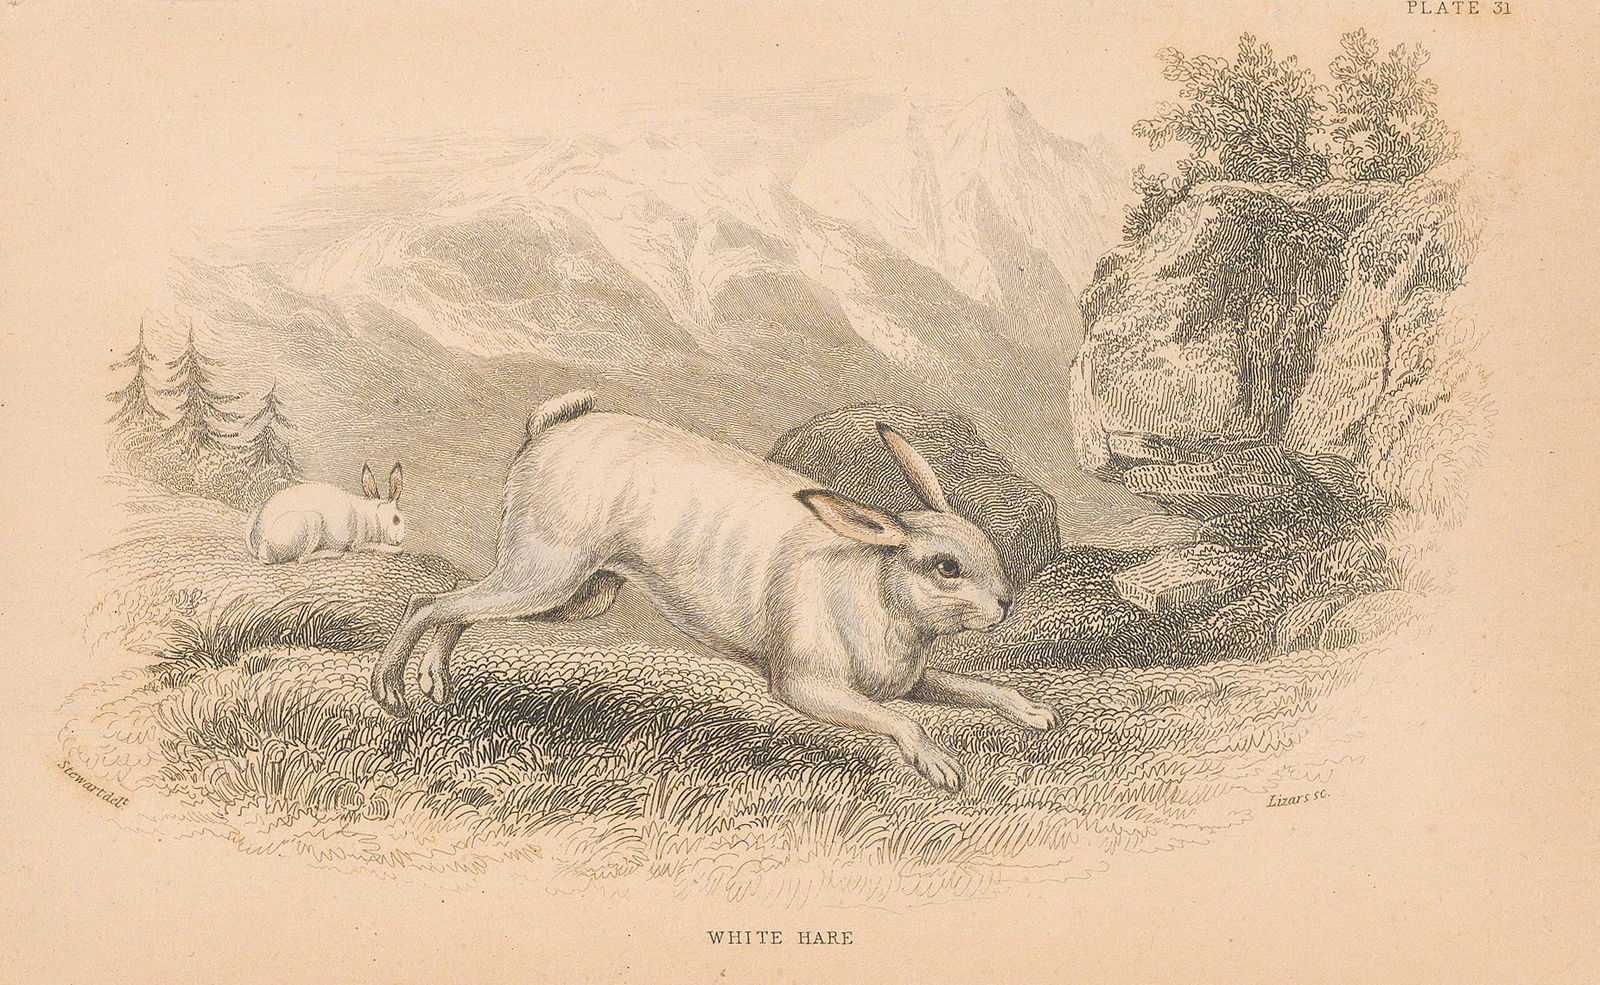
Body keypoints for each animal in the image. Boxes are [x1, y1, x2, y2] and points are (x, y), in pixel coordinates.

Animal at [247, 463, 406, 564]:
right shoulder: (359, 543)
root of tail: (260, 544)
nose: (399, 540)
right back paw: (334, 553)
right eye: (396, 519)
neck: (375, 516)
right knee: (301, 559)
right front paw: (397, 549)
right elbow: (375, 545)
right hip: (313, 520)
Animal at [371, 391, 1057, 792]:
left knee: (458, 603)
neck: (874, 586)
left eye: (987, 550)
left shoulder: (909, 681)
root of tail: (548, 431)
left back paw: (433, 683)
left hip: (568, 592)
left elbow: (982, 688)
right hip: (546, 574)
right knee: (429, 602)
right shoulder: (806, 687)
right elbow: (901, 722)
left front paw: (1035, 715)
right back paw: (392, 690)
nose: (1004, 605)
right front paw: (940, 766)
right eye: (946, 566)